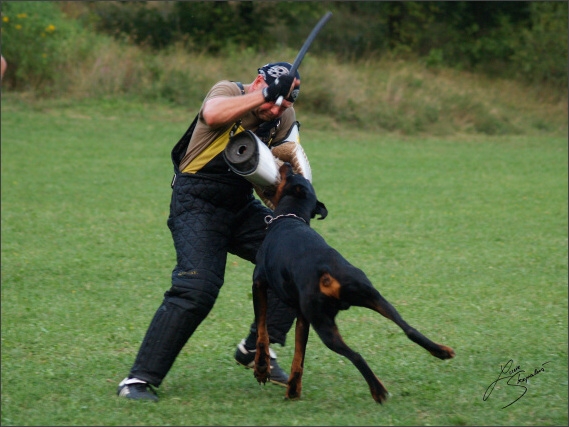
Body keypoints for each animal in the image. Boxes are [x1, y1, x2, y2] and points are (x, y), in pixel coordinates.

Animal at [251, 163, 454, 404]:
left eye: (290, 174)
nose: (287, 165)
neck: (292, 217)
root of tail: (326, 270)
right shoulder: (302, 317)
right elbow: (299, 356)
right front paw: (293, 389)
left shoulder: (258, 284)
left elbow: (262, 330)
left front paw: (262, 368)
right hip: (373, 296)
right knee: (409, 329)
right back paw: (440, 351)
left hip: (324, 324)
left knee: (356, 355)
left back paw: (378, 390)